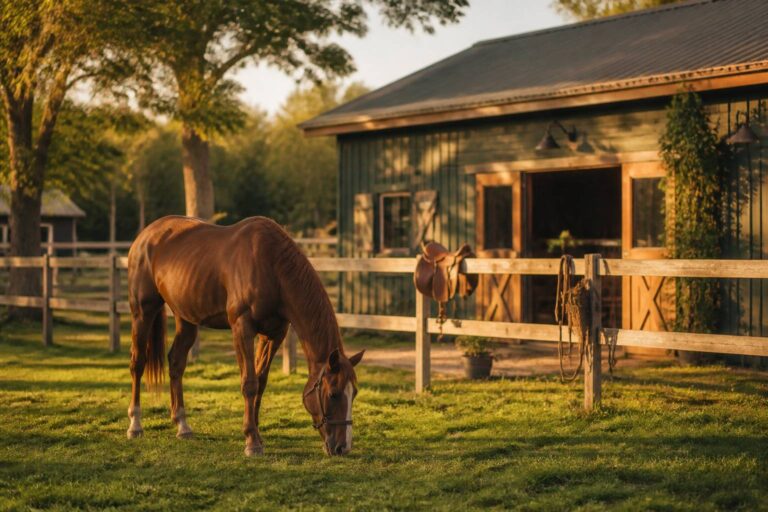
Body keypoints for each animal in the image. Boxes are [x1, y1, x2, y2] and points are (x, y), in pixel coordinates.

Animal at [125, 215, 364, 456]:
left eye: (354, 393)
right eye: (333, 394)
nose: (343, 447)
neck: (271, 267)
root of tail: (145, 235)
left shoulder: (274, 334)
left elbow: (261, 381)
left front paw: (256, 432)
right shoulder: (242, 328)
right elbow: (249, 382)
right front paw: (252, 441)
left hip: (186, 319)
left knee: (176, 363)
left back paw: (182, 425)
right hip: (143, 311)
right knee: (138, 363)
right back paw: (135, 424)